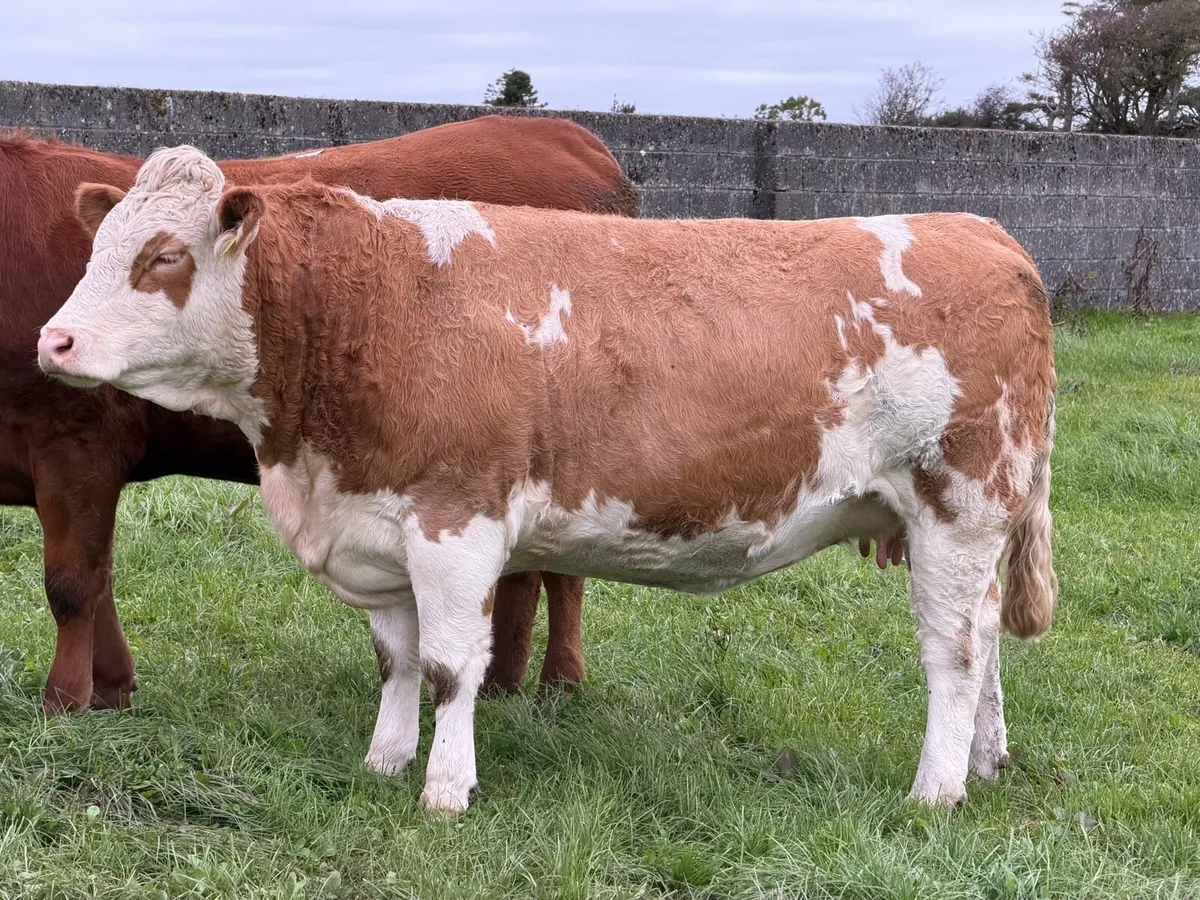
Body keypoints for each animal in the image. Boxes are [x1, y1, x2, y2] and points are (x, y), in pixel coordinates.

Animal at [2, 116, 638, 716]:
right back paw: (501, 684)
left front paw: (64, 703)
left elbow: (72, 583)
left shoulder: (77, 442)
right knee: (525, 572)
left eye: (164, 257)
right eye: (93, 255)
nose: (58, 340)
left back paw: (559, 683)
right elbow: (100, 578)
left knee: (564, 575)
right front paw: (110, 689)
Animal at [38, 145, 1058, 813]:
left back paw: (935, 790)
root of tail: (980, 230)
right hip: (969, 523)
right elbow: (396, 659)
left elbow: (452, 666)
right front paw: (384, 761)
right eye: (97, 247)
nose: (55, 340)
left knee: (953, 654)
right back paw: (987, 764)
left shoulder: (457, 520)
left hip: (960, 506)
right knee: (985, 641)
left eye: (163, 256)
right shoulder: (377, 521)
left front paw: (445, 790)